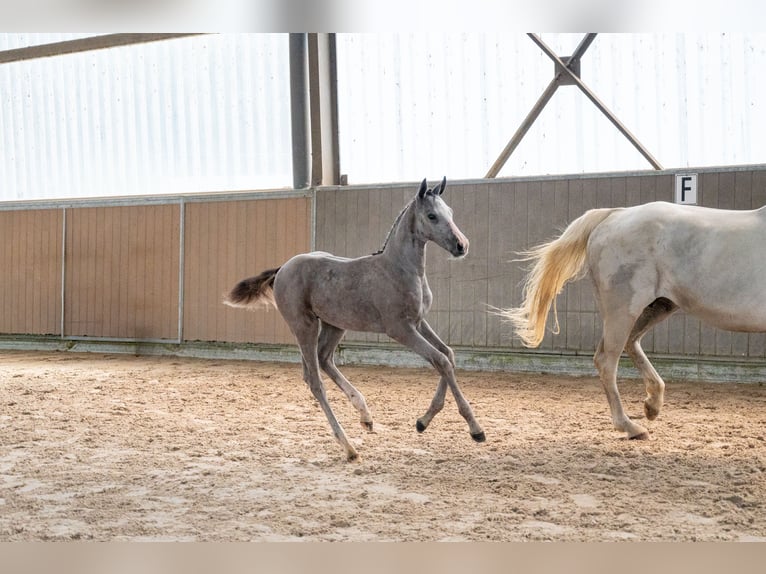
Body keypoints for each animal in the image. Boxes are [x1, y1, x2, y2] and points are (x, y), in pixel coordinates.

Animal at [224, 177, 485, 461]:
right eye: (432, 216)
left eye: (451, 212)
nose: (462, 246)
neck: (400, 269)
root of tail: (282, 268)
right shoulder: (400, 329)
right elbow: (441, 361)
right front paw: (475, 429)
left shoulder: (419, 322)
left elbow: (448, 355)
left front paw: (423, 421)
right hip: (304, 326)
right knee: (314, 380)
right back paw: (348, 446)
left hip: (334, 325)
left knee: (324, 359)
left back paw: (365, 416)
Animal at [500, 200, 766, 440]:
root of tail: (614, 214)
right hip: (623, 309)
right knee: (607, 360)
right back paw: (631, 427)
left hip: (658, 306)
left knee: (630, 343)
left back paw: (651, 405)